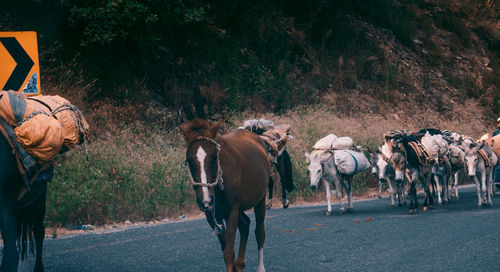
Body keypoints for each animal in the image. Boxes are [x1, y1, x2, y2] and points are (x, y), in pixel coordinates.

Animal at [182, 119, 272, 272]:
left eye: (214, 157)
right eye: (189, 160)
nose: (205, 199)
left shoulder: (232, 211)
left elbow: (229, 252)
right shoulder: (213, 215)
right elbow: (225, 247)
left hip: (260, 199)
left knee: (260, 232)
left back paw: (260, 267)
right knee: (245, 224)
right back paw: (240, 264)